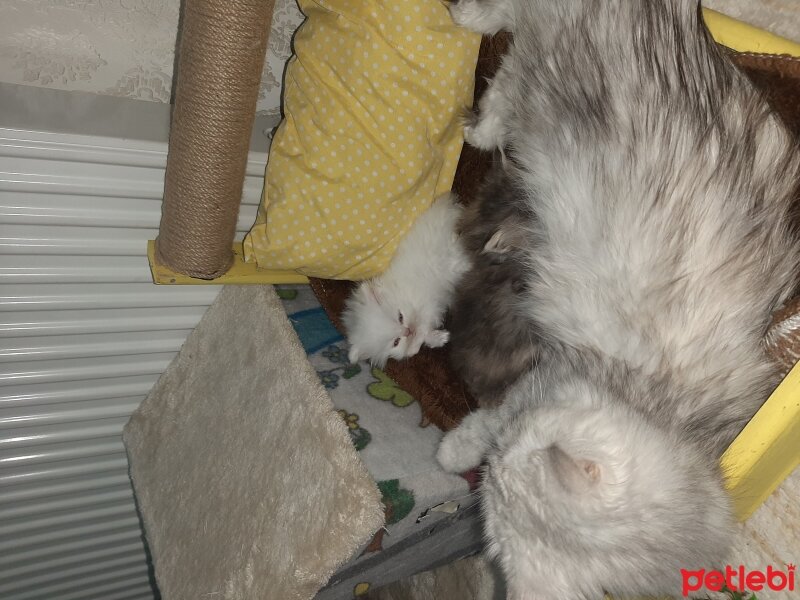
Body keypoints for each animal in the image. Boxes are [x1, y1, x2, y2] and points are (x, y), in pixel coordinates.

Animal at [342, 192, 468, 368]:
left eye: (400, 317)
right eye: (396, 342)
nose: (407, 331)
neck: (400, 292)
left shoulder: (426, 302)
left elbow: (423, 326)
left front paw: (417, 345)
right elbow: (425, 331)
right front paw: (437, 339)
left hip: (451, 257)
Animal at [438, 1, 800, 600]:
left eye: (503, 473)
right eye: (510, 456)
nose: (495, 461)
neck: (658, 409)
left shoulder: (537, 389)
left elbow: (487, 418)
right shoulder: (540, 382)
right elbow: (484, 421)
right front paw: (453, 450)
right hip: (544, 74)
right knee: (506, 61)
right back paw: (476, 78)